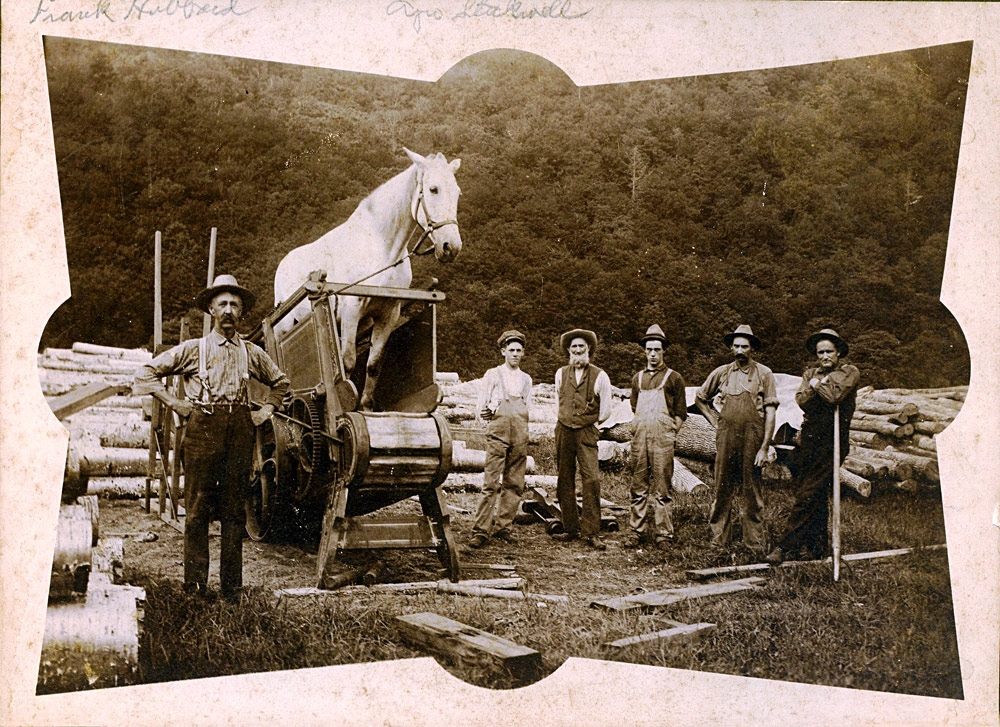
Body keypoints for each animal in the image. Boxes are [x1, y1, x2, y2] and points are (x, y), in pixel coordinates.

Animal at [273, 148, 463, 410]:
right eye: (433, 189)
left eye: (457, 192)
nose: (451, 247)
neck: (381, 247)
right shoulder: (352, 308)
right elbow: (347, 362)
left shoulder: (387, 313)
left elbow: (373, 364)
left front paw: (365, 406)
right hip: (283, 330)